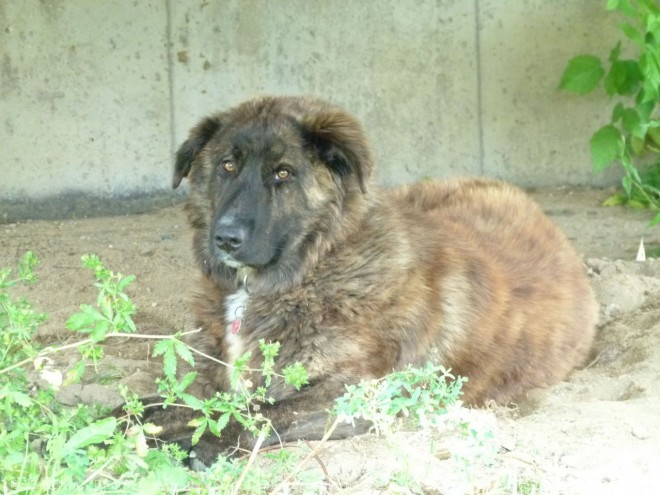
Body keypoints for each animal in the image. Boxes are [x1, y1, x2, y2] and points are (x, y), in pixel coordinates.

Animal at [141, 96, 600, 464]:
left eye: (283, 173)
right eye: (228, 166)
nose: (225, 237)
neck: (317, 263)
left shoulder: (357, 393)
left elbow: (258, 413)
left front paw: (199, 443)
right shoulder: (210, 379)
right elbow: (161, 404)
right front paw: (136, 422)